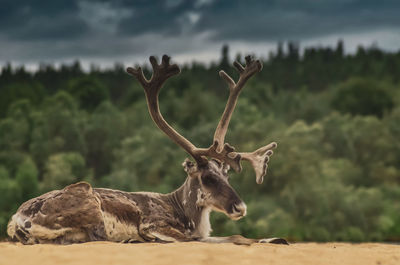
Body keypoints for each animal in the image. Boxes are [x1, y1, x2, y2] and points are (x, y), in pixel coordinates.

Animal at [7, 54, 288, 244]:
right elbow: (231, 237)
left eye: (227, 175)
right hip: (89, 201)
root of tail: (17, 219)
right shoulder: (155, 224)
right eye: (208, 178)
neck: (186, 213)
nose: (241, 208)